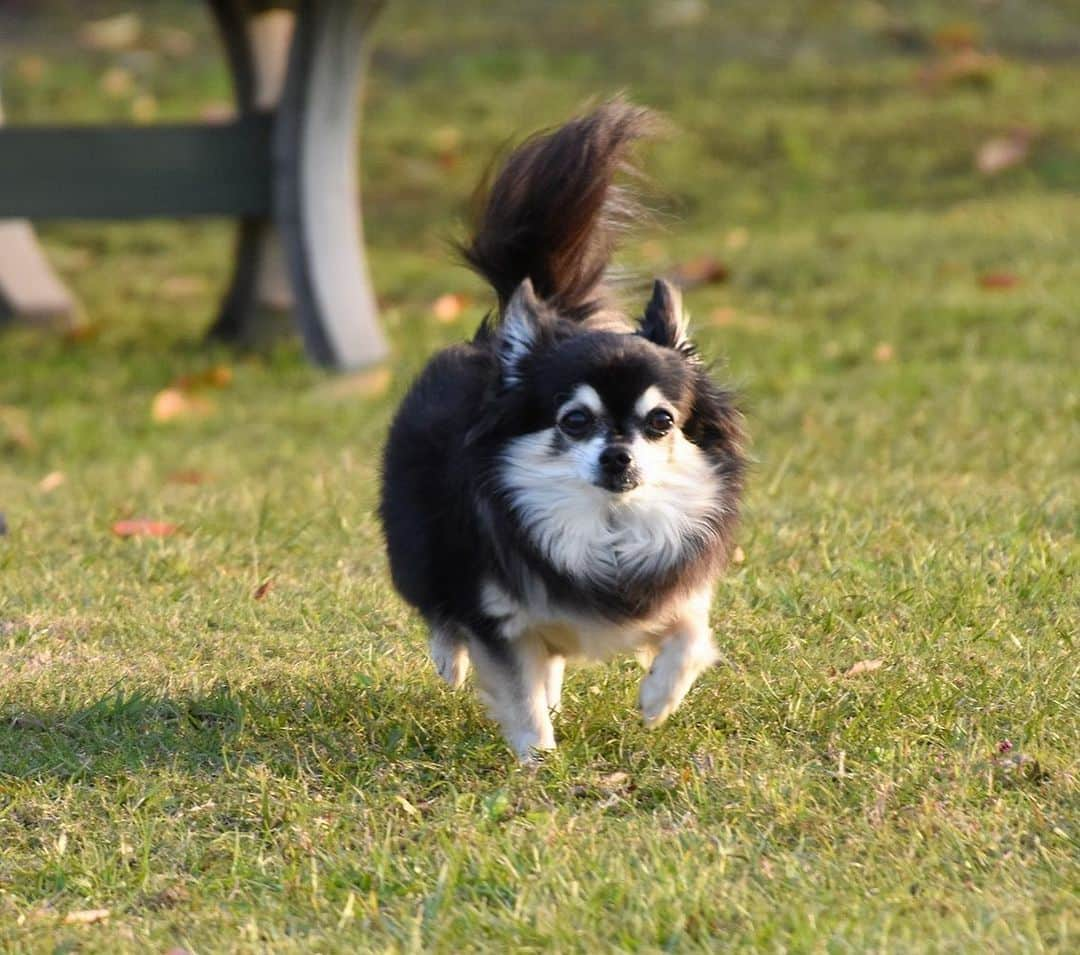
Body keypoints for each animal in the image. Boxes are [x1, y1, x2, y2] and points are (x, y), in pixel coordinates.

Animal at [378, 98, 743, 760]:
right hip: (417, 546)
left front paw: (658, 699)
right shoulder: (498, 618)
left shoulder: (670, 586)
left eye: (661, 422)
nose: (619, 457)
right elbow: (515, 690)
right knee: (440, 610)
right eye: (575, 421)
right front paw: (538, 761)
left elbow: (691, 633)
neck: (607, 529)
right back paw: (450, 660)